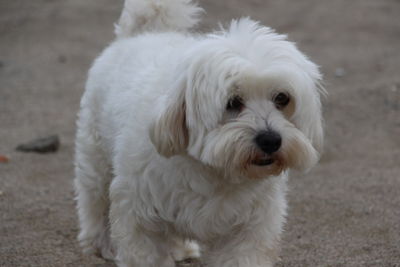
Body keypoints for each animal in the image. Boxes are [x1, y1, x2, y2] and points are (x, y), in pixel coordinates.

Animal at [75, 0, 324, 266]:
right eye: (233, 102)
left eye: (282, 98)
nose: (270, 140)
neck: (215, 171)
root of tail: (143, 33)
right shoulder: (140, 215)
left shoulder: (249, 228)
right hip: (95, 158)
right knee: (94, 200)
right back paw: (100, 243)